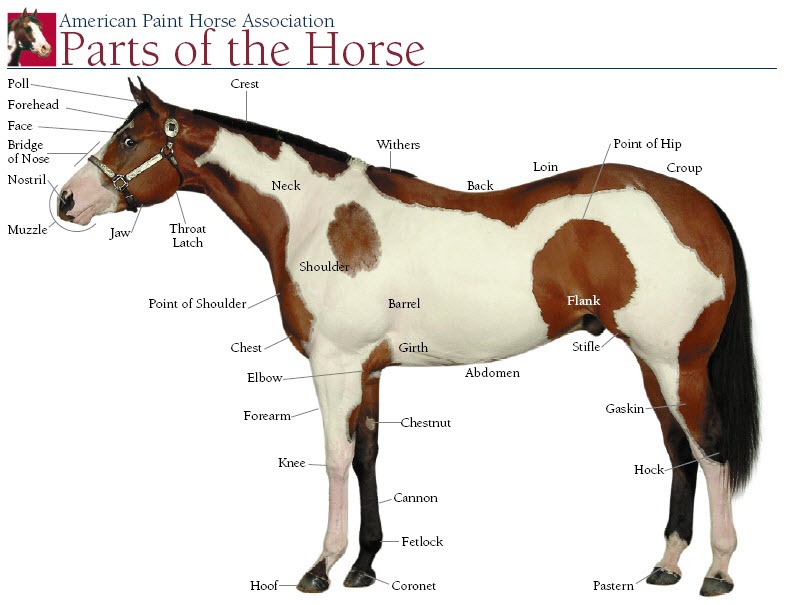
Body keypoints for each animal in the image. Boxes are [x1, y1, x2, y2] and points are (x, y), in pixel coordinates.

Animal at [58, 79, 758, 596]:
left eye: (128, 139)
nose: (63, 200)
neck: (315, 216)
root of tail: (700, 205)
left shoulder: (335, 363)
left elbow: (334, 458)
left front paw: (321, 567)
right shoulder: (368, 369)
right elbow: (367, 457)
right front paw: (365, 565)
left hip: (677, 361)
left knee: (711, 446)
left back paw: (719, 570)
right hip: (650, 361)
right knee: (678, 449)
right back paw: (666, 565)